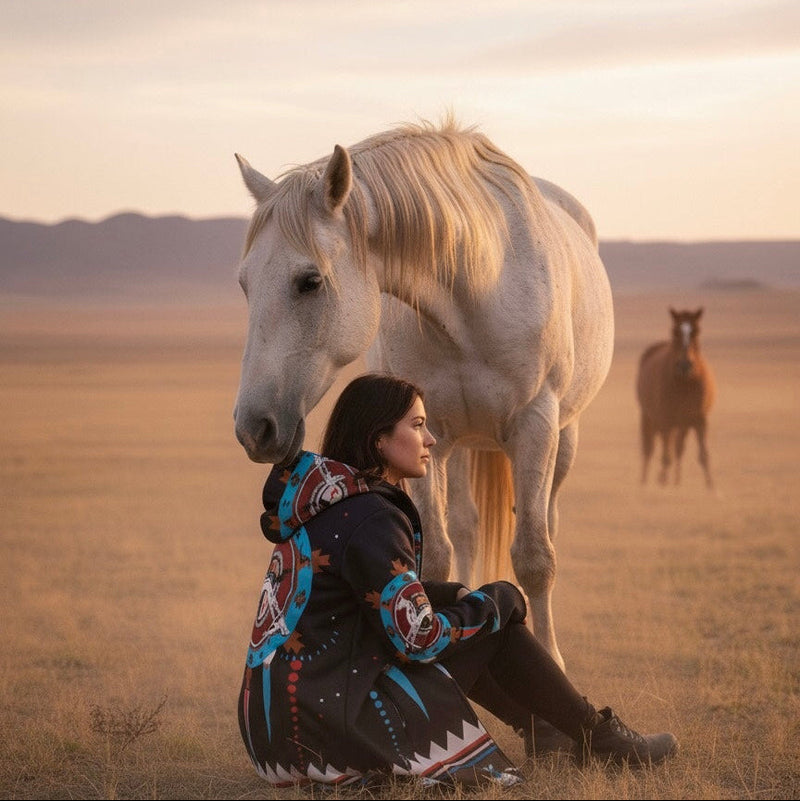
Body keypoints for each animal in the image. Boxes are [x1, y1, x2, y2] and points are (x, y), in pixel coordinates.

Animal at [232, 118, 614, 680]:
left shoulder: (536, 425)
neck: (477, 289)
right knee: (467, 528)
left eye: (310, 281)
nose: (252, 427)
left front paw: (551, 663)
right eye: (244, 284)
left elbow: (535, 558)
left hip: (561, 439)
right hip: (458, 444)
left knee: (546, 525)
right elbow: (434, 554)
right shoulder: (423, 433)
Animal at [636, 307, 716, 489]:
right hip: (649, 418)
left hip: (682, 424)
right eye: (675, 331)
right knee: (649, 449)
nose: (685, 365)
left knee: (678, 449)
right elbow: (666, 455)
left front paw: (711, 488)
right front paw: (662, 484)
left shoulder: (700, 420)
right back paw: (645, 482)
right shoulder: (666, 420)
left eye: (696, 331)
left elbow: (703, 455)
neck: (685, 383)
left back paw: (676, 480)